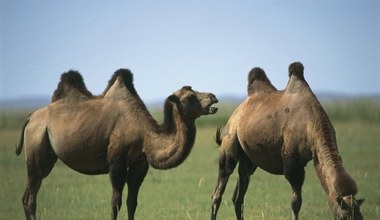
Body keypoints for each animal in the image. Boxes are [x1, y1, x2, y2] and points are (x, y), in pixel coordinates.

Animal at [16, 69, 218, 220]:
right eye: (189, 97)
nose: (213, 96)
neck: (144, 134)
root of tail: (31, 117)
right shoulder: (116, 161)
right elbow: (115, 202)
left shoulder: (139, 163)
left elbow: (132, 201)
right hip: (36, 145)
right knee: (30, 197)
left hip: (46, 153)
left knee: (28, 195)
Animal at [211, 62, 366, 220]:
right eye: (344, 217)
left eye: (360, 216)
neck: (311, 122)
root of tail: (237, 111)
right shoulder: (293, 162)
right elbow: (296, 202)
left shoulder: (313, 157)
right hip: (230, 139)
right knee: (219, 188)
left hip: (248, 159)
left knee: (238, 195)